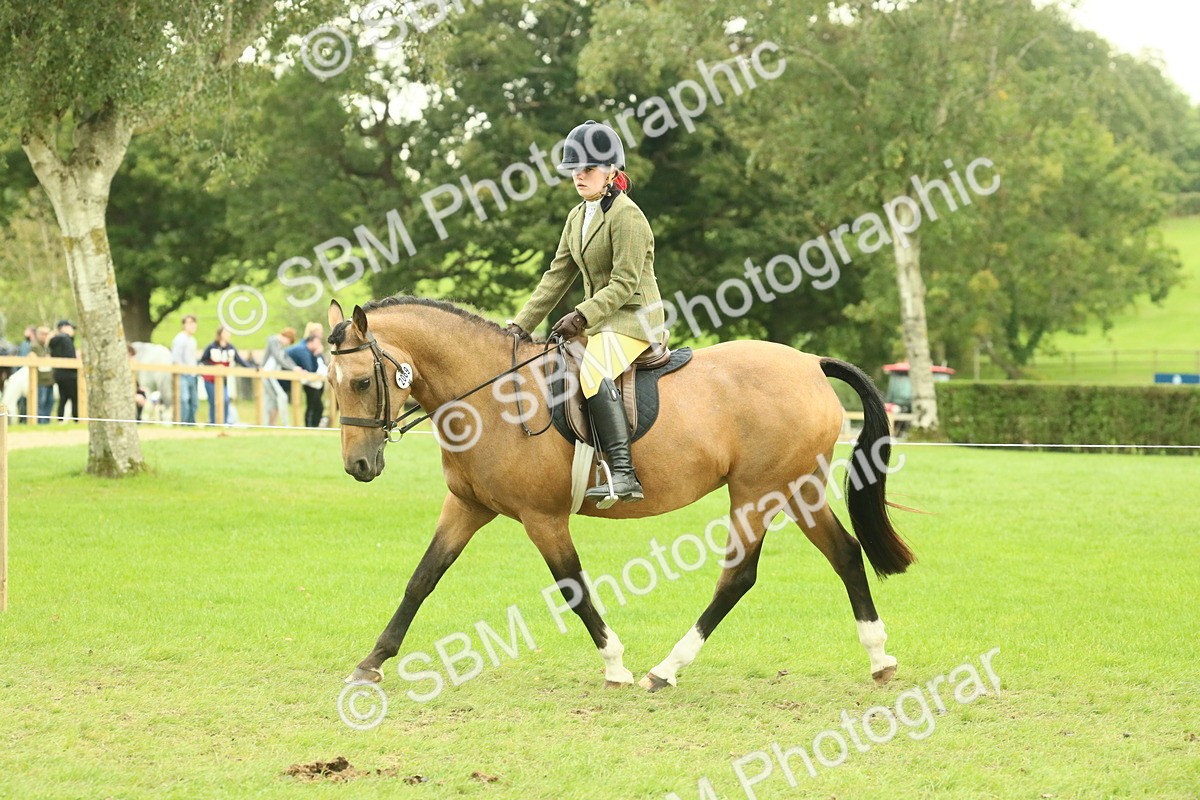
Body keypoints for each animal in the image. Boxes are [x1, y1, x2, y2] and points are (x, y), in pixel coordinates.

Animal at [326, 296, 914, 692]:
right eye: (330, 383)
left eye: (360, 382)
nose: (358, 466)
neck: (491, 394)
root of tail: (810, 363)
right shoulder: (467, 506)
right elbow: (422, 579)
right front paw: (372, 662)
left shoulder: (543, 518)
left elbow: (572, 587)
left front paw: (615, 665)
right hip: (796, 488)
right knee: (845, 553)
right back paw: (880, 658)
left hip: (756, 493)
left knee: (738, 577)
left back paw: (665, 670)